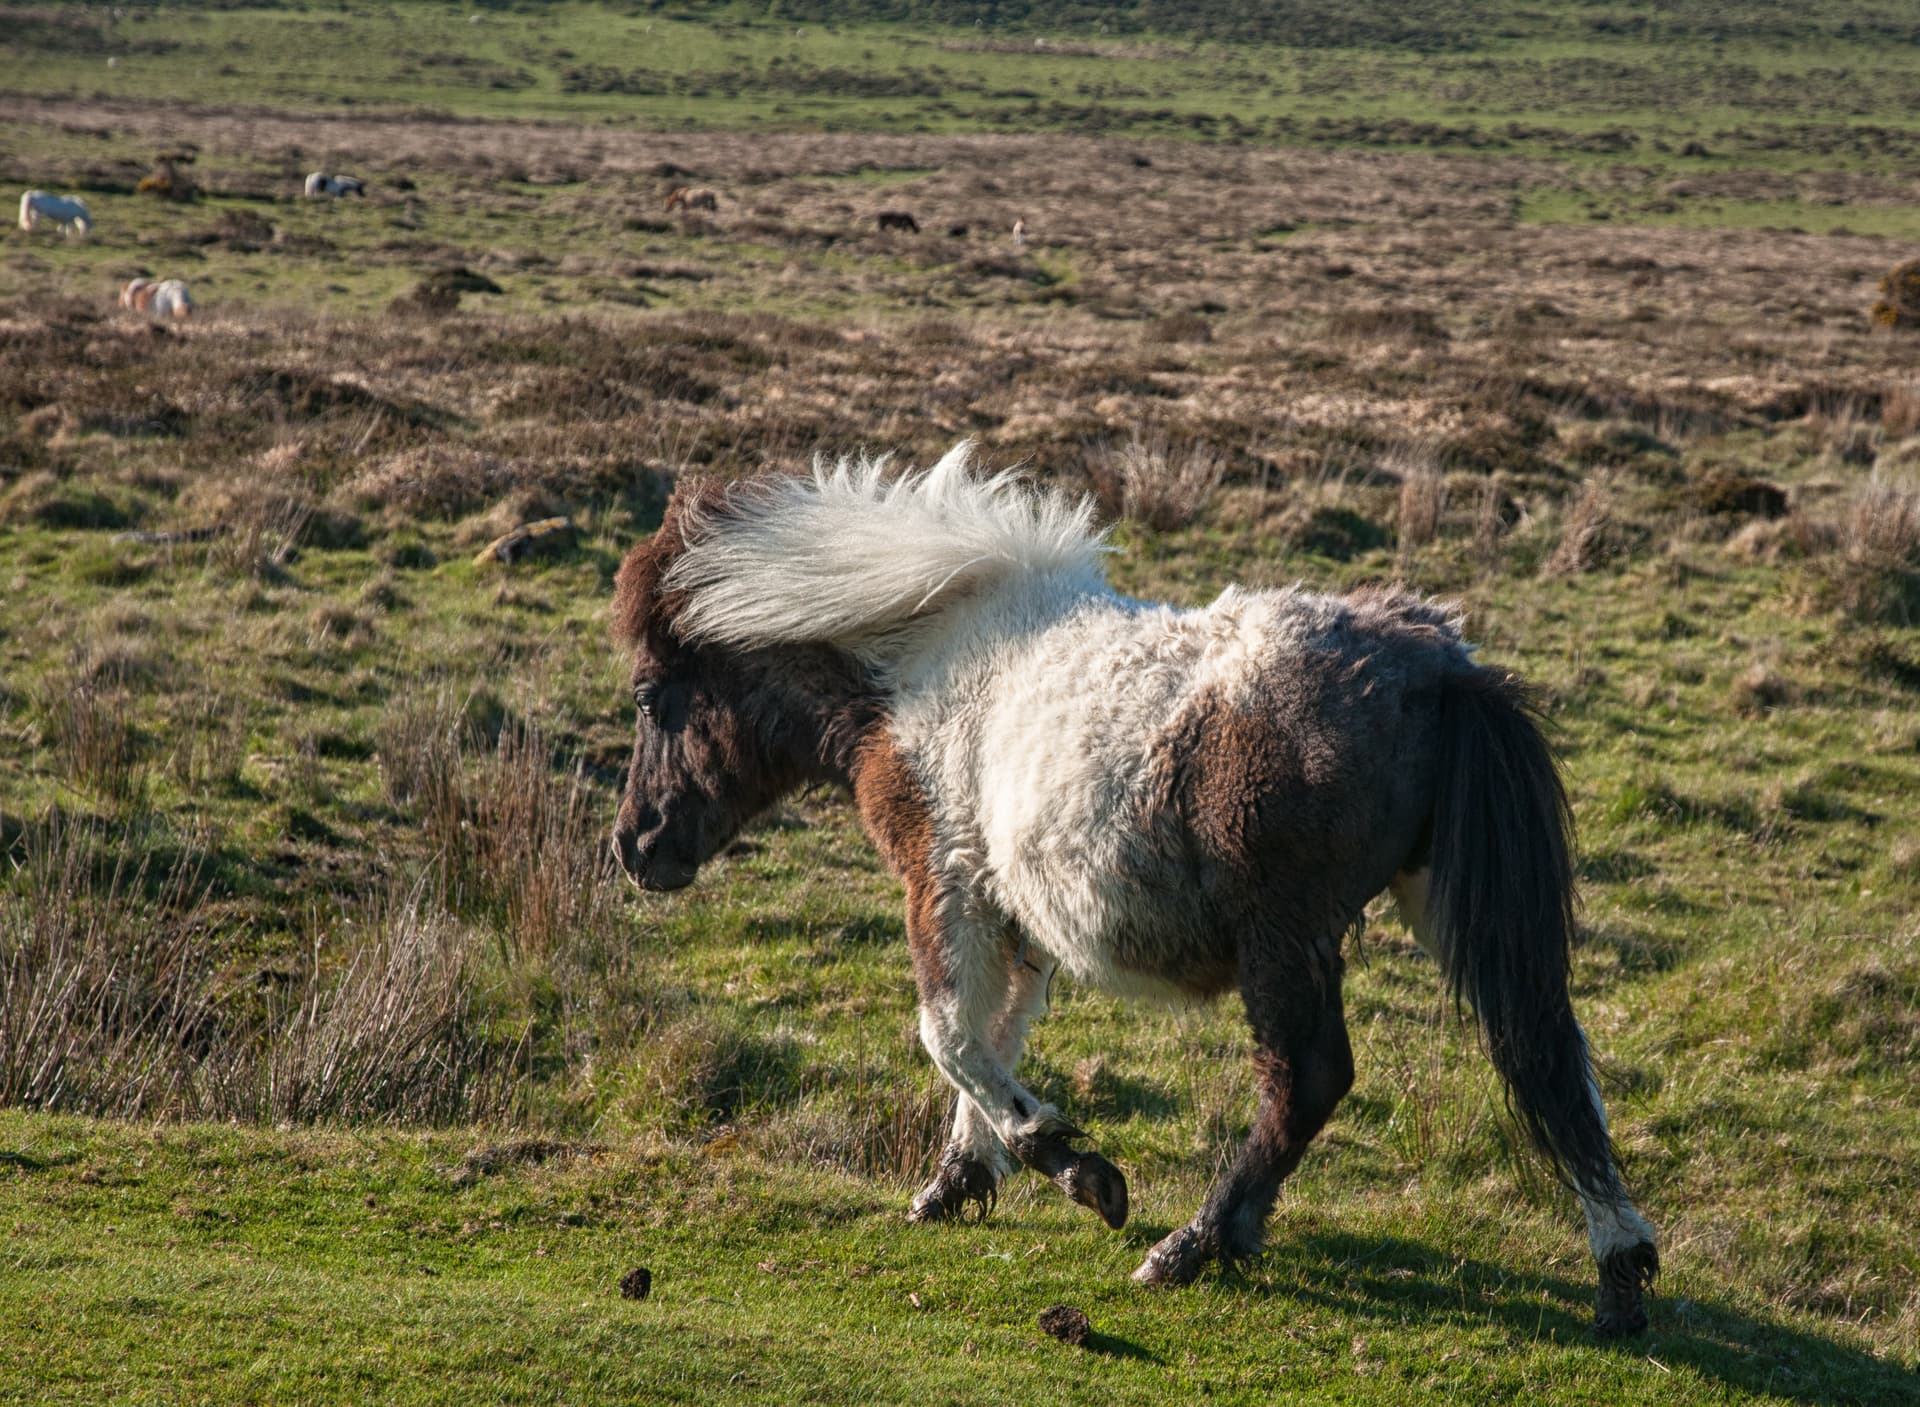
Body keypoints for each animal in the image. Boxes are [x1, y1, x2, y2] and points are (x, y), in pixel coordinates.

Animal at [607, 445, 1660, 1337]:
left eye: (652, 696)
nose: (635, 846)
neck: (921, 668)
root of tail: (1442, 670)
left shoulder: (942, 883)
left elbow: (946, 1035)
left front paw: (1075, 1167)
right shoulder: (1013, 916)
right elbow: (991, 1038)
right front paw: (959, 1181)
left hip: (1287, 937)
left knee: (1310, 1078)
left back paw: (1194, 1244)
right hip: (1441, 903)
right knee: (1552, 1055)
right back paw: (1621, 1272)